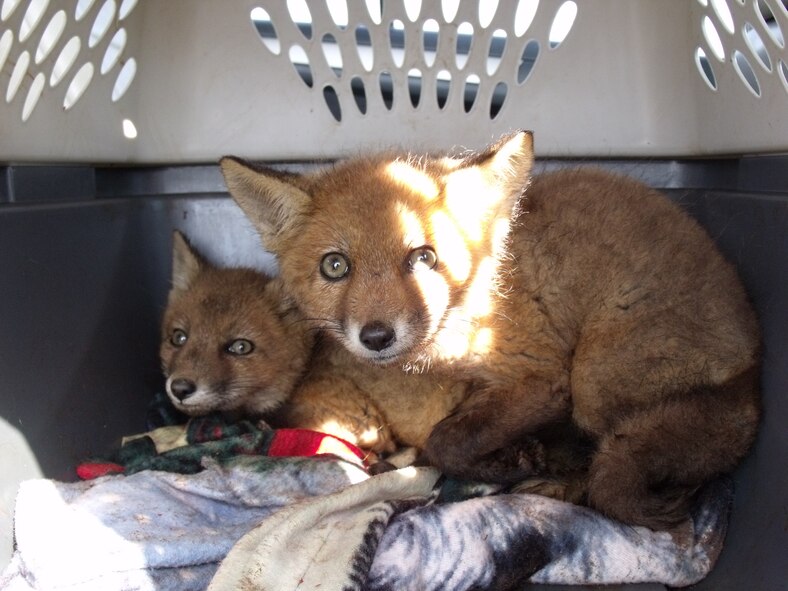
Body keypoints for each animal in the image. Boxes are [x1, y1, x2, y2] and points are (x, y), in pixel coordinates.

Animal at [220, 131, 761, 529]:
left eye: (423, 258)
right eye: (335, 266)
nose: (376, 337)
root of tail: (755, 371)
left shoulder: (542, 377)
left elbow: (448, 440)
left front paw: (504, 463)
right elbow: (448, 433)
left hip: (592, 381)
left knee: (600, 469)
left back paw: (557, 485)